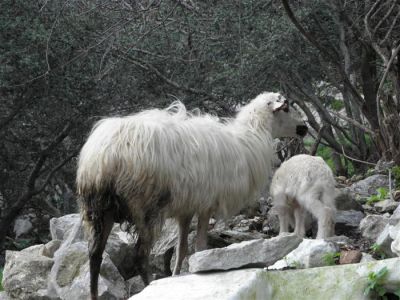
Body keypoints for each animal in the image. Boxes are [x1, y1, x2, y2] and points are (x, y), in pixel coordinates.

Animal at [76, 92, 306, 300]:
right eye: (286, 108)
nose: (304, 127)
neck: (250, 139)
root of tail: (106, 156)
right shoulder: (207, 203)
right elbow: (200, 247)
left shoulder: (186, 208)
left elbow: (181, 249)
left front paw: (177, 275)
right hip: (146, 206)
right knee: (140, 255)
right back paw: (150, 286)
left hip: (98, 209)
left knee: (95, 255)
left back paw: (94, 294)